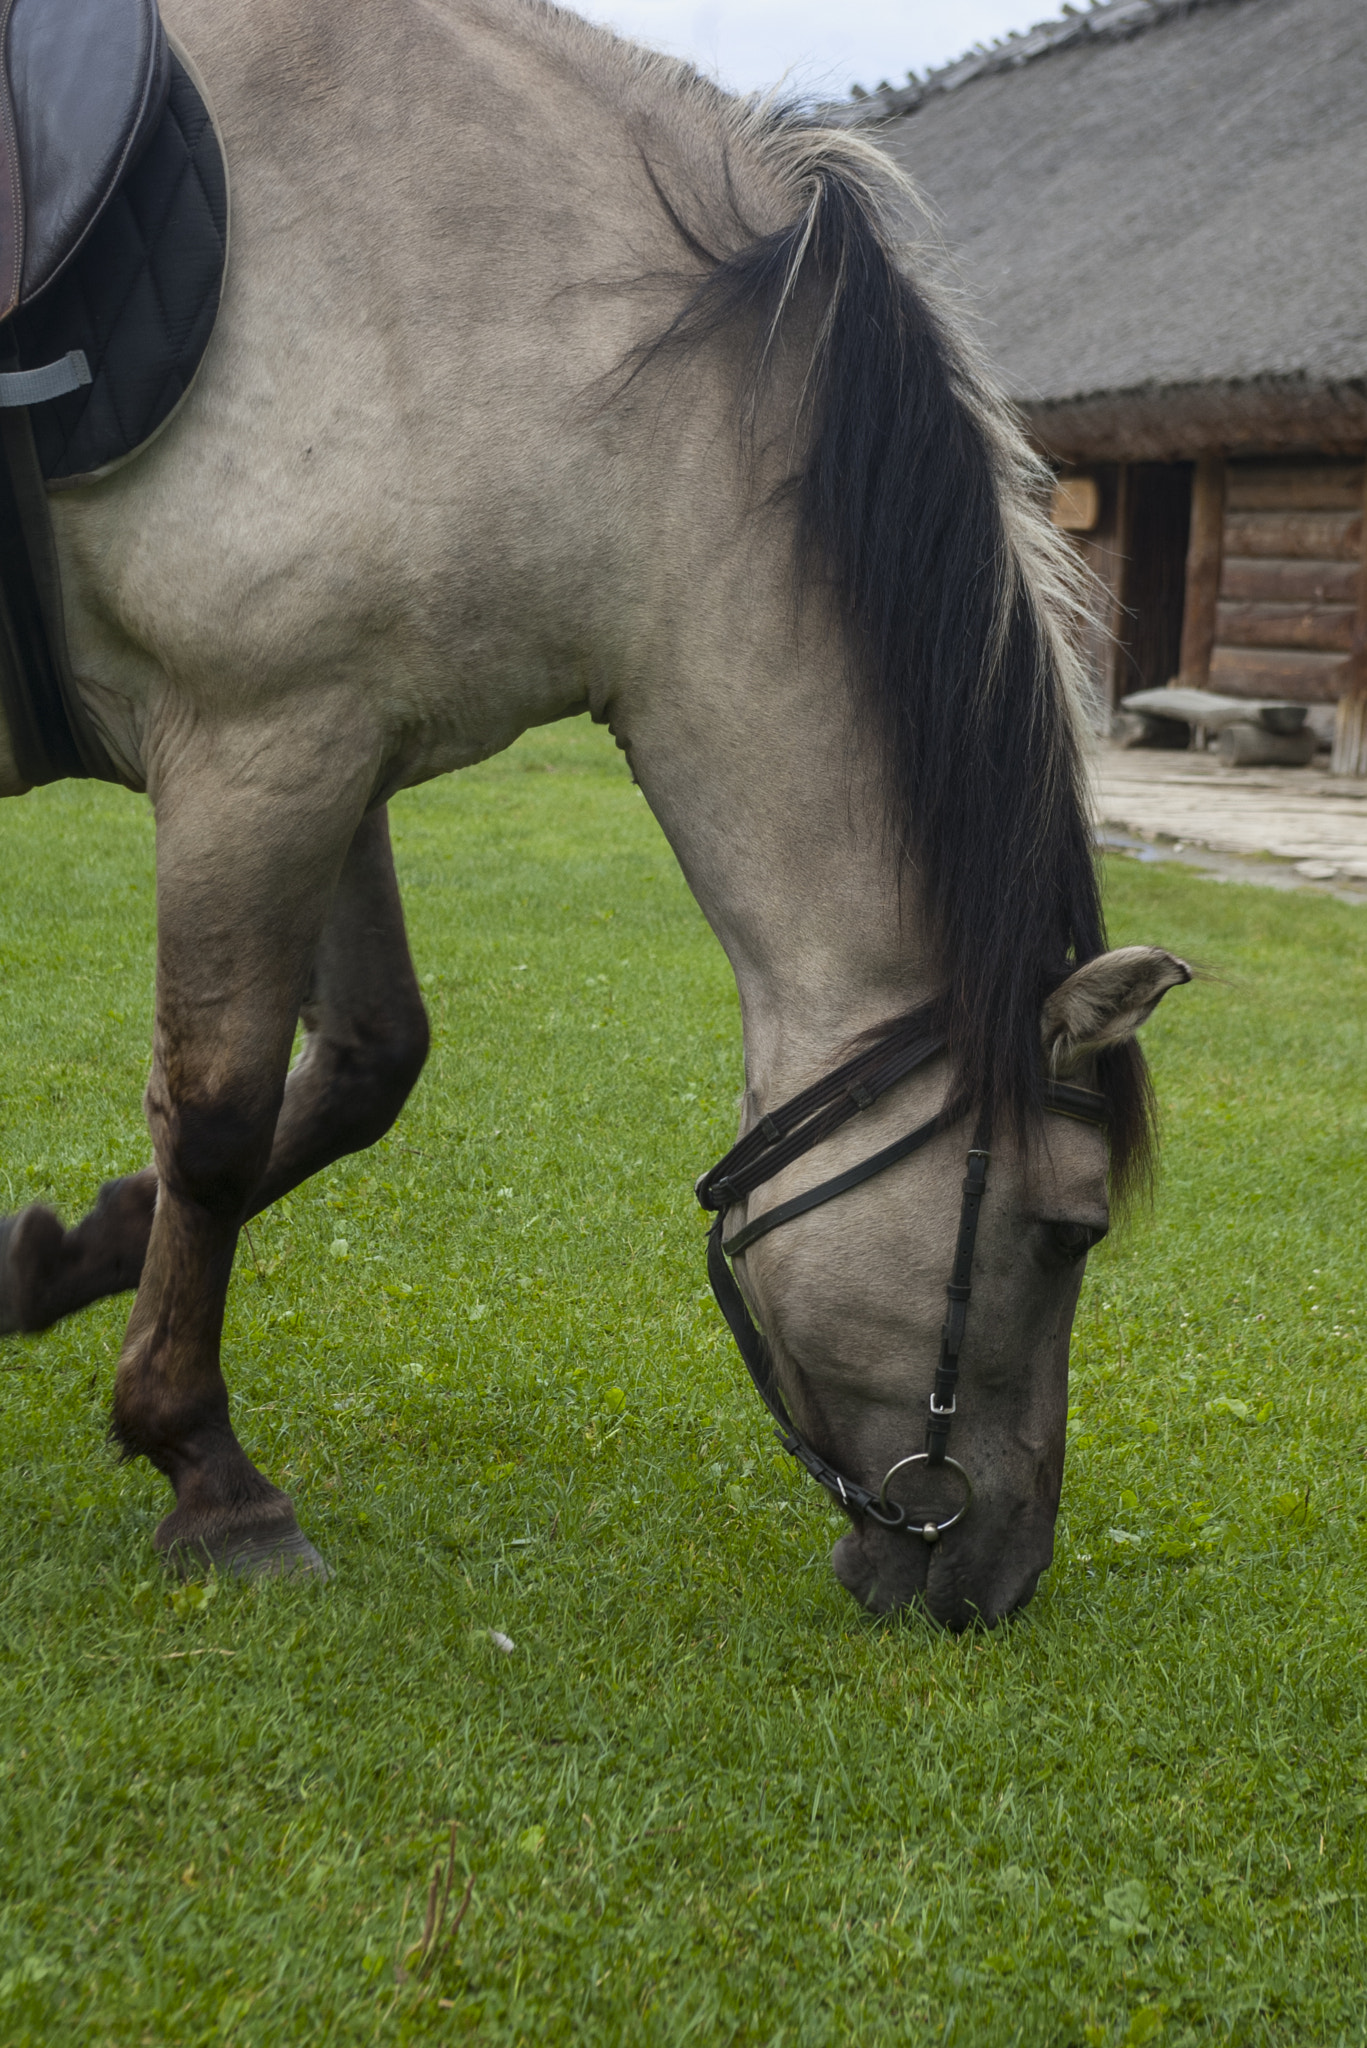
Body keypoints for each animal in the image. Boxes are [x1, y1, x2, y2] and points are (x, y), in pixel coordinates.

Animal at [0, 4, 1188, 1630]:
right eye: (1069, 1233)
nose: (993, 1582)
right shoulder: (258, 746)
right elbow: (223, 1117)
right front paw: (207, 1469)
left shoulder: (330, 744)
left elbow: (363, 1065)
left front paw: (52, 1263)